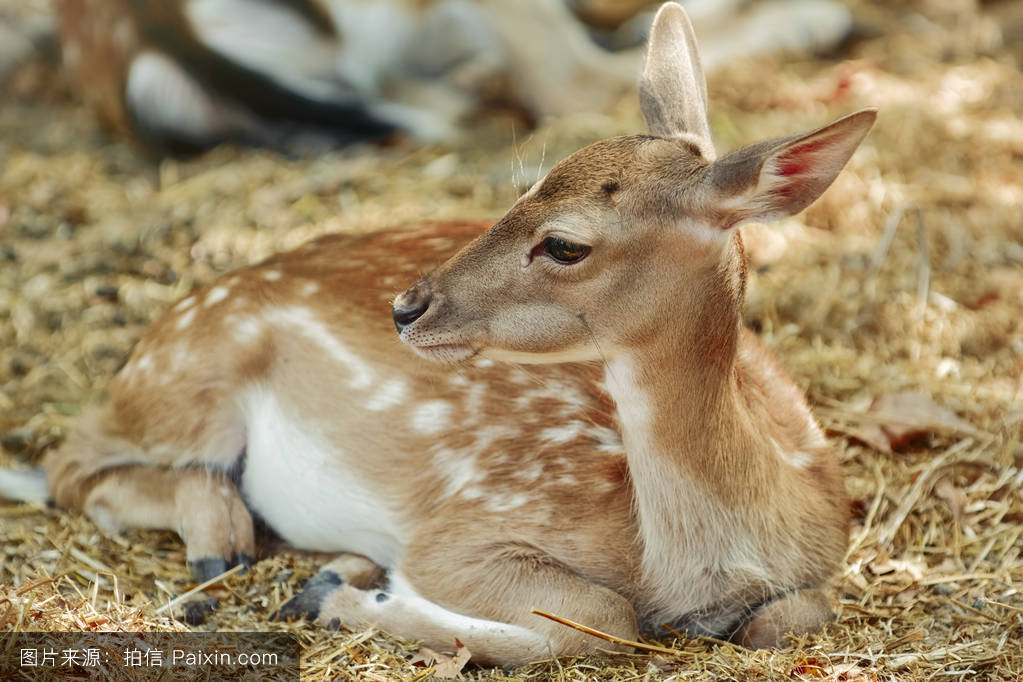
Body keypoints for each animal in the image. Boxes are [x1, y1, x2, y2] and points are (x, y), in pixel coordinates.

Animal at [1, 0, 879, 662]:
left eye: (564, 243)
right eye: (519, 189)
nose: (406, 307)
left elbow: (785, 618)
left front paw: (341, 585)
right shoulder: (464, 526)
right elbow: (600, 617)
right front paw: (340, 597)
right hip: (189, 374)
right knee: (73, 464)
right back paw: (227, 538)